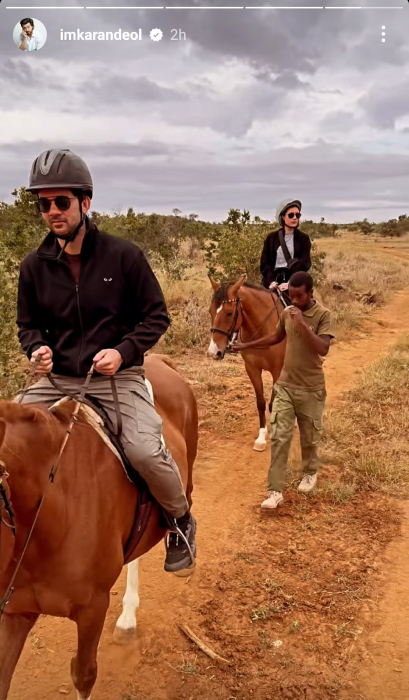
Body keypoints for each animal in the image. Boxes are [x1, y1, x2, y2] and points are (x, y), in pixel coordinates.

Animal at [207, 276, 284, 452]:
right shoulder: (252, 369)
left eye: (229, 313)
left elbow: (273, 403)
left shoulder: (277, 370)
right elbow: (261, 403)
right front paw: (261, 438)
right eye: (210, 311)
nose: (214, 352)